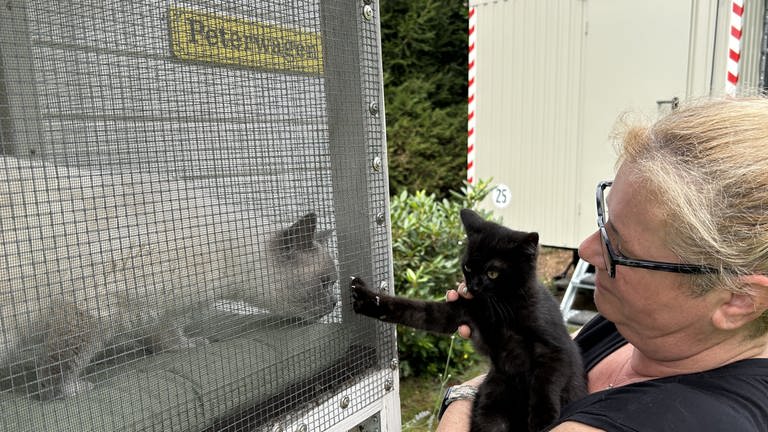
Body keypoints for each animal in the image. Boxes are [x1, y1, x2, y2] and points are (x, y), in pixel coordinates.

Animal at [0, 157, 340, 400]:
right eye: (326, 283)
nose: (335, 303)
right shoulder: (93, 305)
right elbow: (63, 363)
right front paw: (66, 392)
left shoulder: (160, 308)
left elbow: (168, 336)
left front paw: (186, 345)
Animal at [352, 208, 584, 430]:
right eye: (469, 267)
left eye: (492, 273)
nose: (473, 286)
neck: (501, 308)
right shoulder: (459, 312)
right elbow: (415, 311)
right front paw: (368, 300)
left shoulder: (555, 347)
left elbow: (546, 381)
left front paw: (543, 418)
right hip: (492, 399)